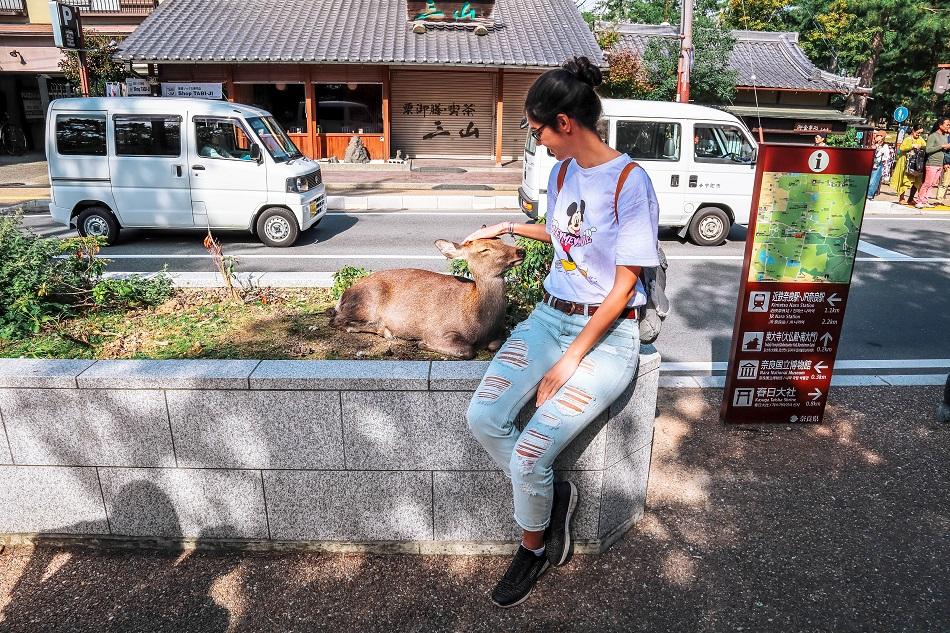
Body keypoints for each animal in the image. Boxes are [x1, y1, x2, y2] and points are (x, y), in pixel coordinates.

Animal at [331, 238, 525, 358]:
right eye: (484, 249)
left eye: (500, 240)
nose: (520, 251)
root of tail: (343, 295)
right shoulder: (436, 330)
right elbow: (467, 350)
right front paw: (422, 344)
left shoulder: (498, 332)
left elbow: (495, 344)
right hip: (365, 304)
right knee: (337, 320)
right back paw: (385, 331)